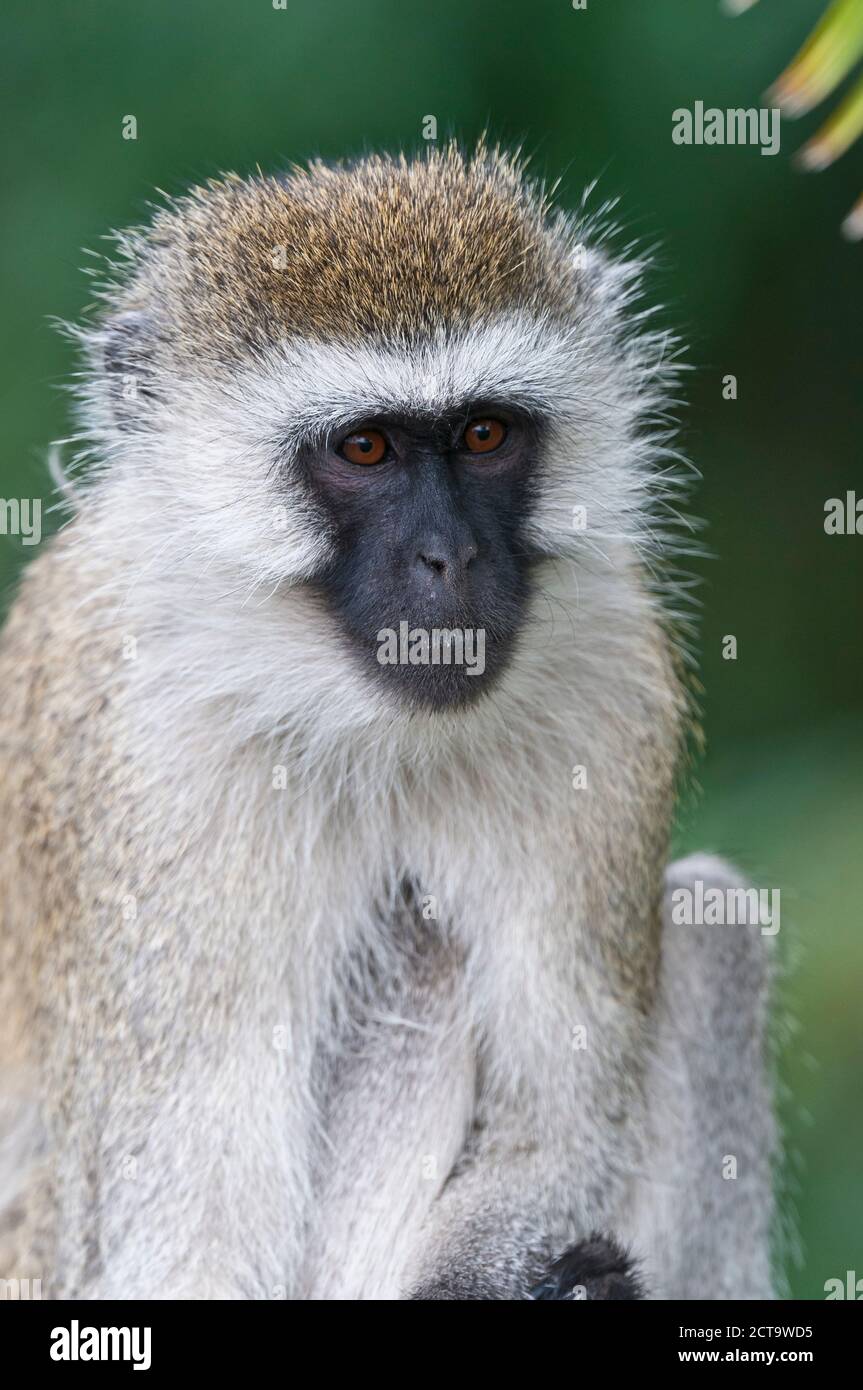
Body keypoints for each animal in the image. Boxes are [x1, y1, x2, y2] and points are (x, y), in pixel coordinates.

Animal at [0, 146, 772, 1295]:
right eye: (363, 448)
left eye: (484, 434)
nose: (449, 558)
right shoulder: (147, 765)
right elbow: (195, 1230)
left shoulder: (611, 685)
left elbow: (558, 1125)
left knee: (708, 924)